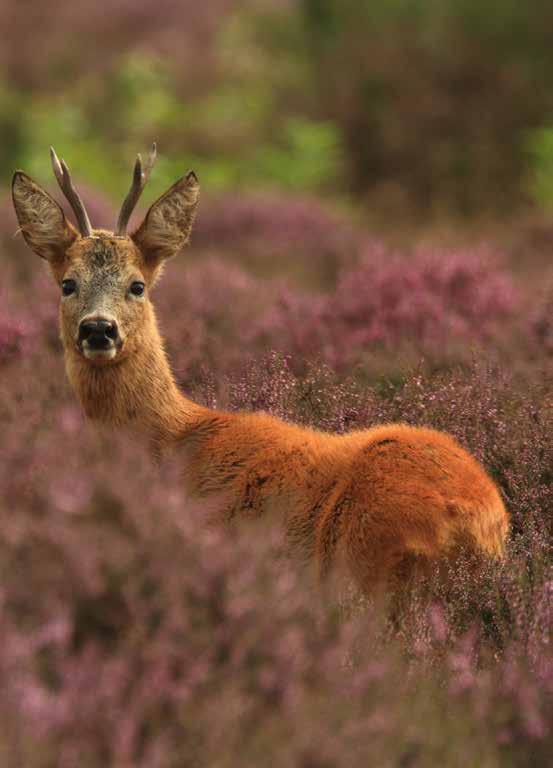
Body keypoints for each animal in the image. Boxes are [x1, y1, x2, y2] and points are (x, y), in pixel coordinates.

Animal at [11, 147, 508, 596]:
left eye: (137, 285)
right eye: (67, 284)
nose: (98, 328)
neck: (171, 437)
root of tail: (484, 518)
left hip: (368, 557)